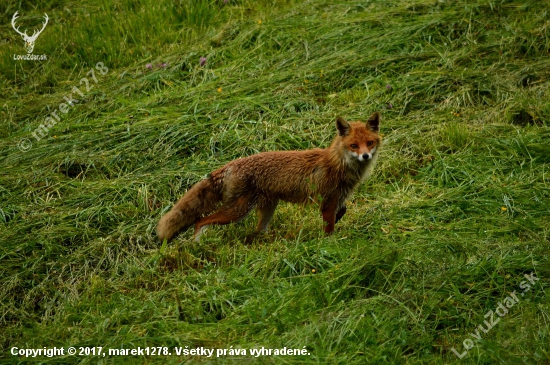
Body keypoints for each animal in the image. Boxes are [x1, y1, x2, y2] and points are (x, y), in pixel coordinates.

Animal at [156, 111, 384, 242]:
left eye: (369, 143)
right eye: (353, 146)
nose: (365, 156)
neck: (338, 163)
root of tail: (230, 164)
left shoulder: (339, 198)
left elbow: (342, 211)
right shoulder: (327, 201)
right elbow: (329, 226)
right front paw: (329, 244)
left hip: (266, 209)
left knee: (256, 232)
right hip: (238, 211)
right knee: (200, 221)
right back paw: (197, 245)